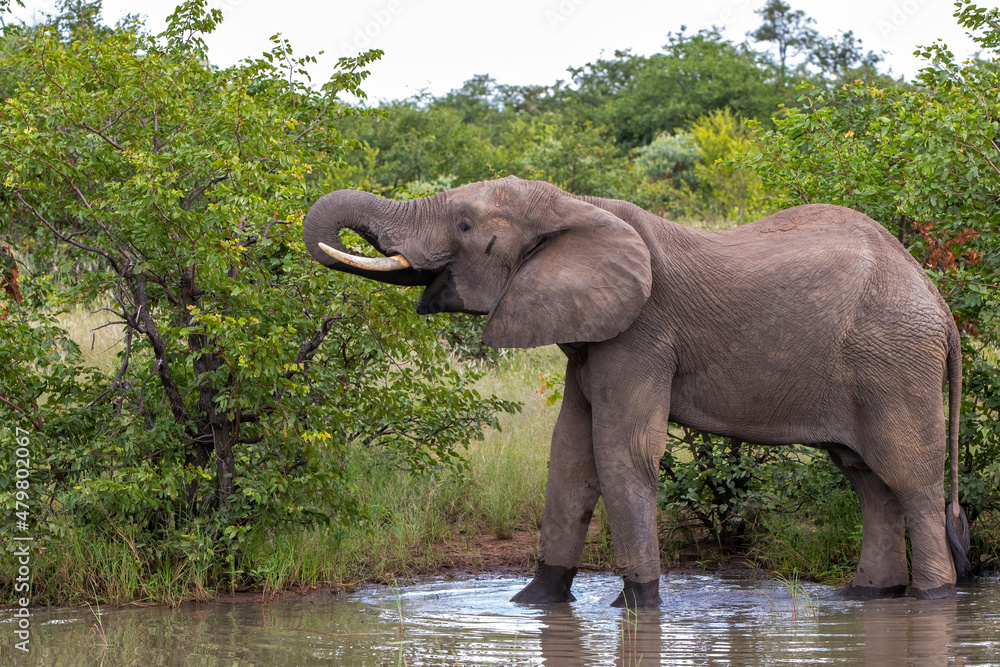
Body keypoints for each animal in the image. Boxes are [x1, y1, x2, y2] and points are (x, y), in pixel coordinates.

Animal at [302, 175, 971, 607]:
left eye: (465, 226)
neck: (577, 207)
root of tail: (940, 304)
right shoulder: (590, 336)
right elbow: (570, 457)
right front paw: (532, 603)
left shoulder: (642, 332)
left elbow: (622, 454)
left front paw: (637, 607)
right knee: (867, 480)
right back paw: (868, 596)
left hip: (896, 362)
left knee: (909, 480)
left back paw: (933, 598)